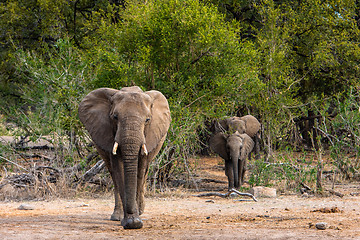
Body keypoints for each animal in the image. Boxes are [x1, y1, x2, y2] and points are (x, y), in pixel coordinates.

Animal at [77, 86, 170, 229]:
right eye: (115, 117)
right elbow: (118, 169)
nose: (133, 219)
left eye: (147, 120)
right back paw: (117, 216)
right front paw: (131, 222)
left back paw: (140, 210)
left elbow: (140, 170)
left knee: (145, 170)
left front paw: (136, 220)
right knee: (112, 173)